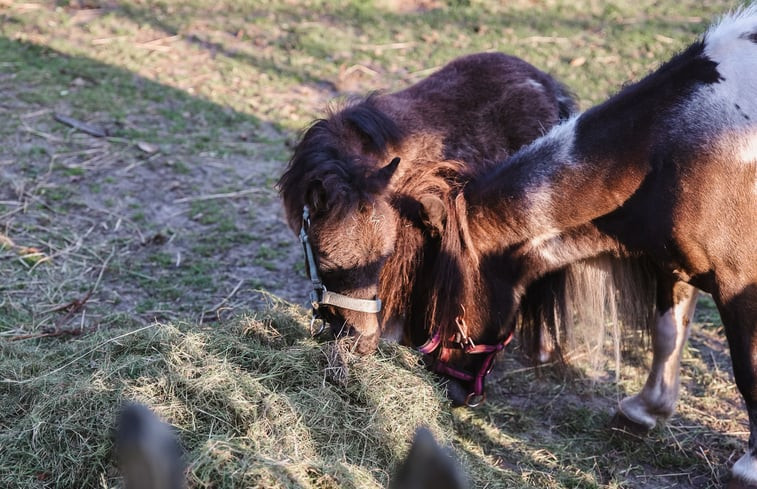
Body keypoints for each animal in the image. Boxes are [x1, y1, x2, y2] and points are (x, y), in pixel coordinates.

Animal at [416, 6, 756, 484]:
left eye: (444, 300)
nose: (450, 390)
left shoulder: (740, 285)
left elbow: (747, 372)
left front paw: (750, 466)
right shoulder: (677, 266)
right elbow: (667, 334)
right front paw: (644, 411)